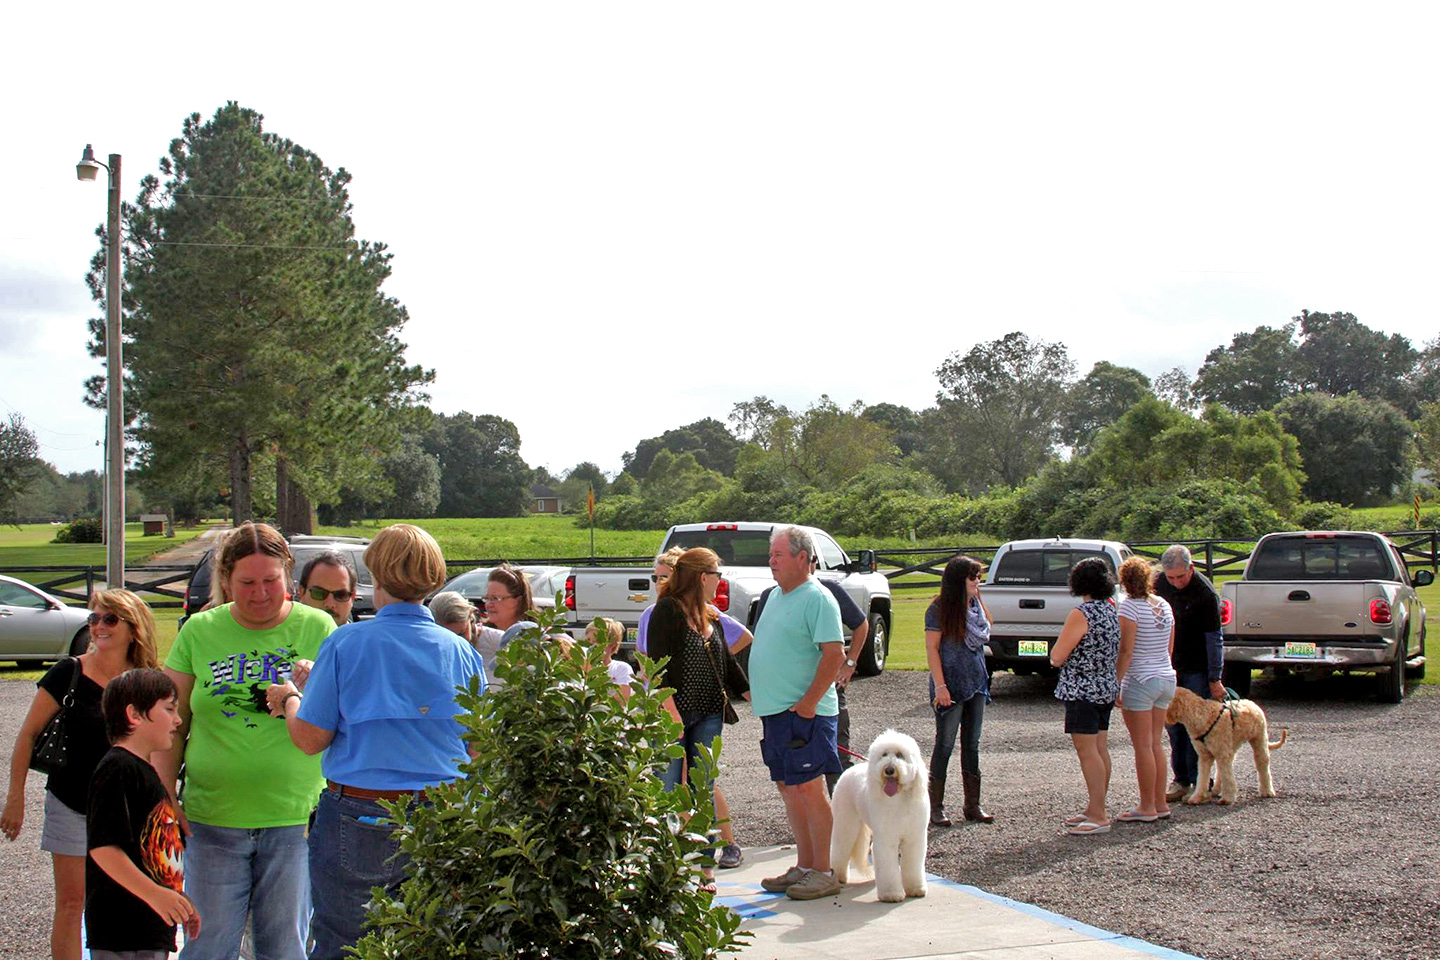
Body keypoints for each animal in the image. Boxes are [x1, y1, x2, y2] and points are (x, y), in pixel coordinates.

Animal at [829, 731, 927, 903]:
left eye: (900, 755)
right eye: (884, 754)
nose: (889, 770)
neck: (899, 799)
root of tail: (849, 770)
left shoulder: (914, 838)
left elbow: (913, 864)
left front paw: (916, 889)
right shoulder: (886, 838)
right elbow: (888, 864)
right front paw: (891, 894)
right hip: (846, 821)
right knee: (840, 847)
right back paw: (839, 876)